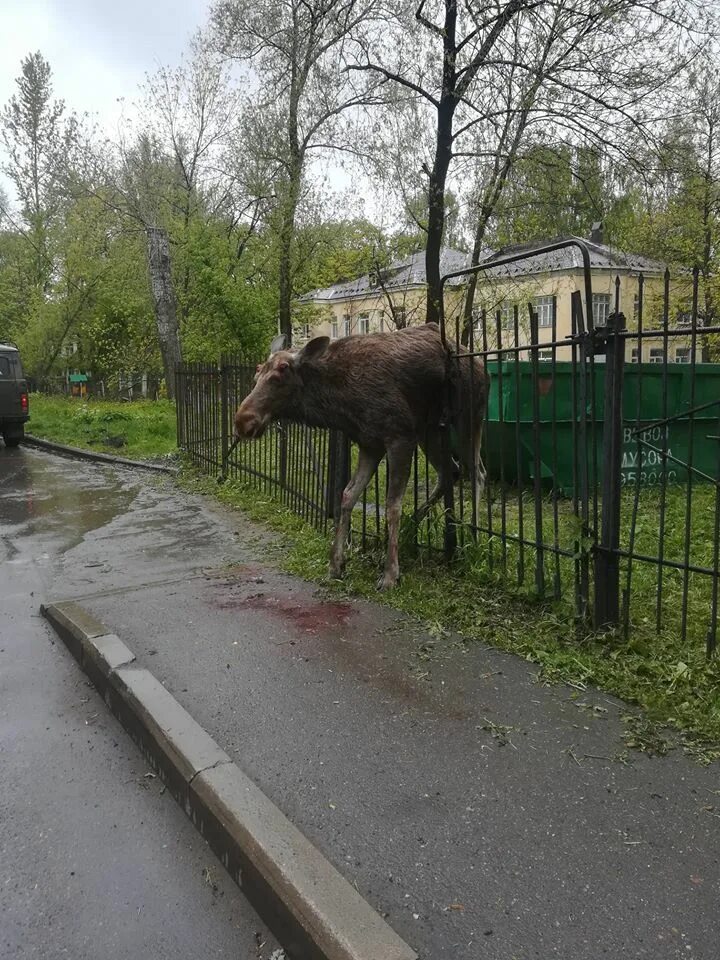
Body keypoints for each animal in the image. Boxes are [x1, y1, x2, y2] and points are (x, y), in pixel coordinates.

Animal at [236, 322, 490, 588]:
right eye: (256, 373)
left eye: (281, 371)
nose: (243, 421)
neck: (338, 404)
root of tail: (479, 363)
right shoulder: (370, 444)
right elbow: (348, 495)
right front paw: (336, 563)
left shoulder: (399, 437)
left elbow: (392, 505)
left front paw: (390, 574)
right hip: (429, 431)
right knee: (450, 472)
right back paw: (411, 527)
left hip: (469, 418)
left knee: (478, 472)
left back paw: (474, 535)